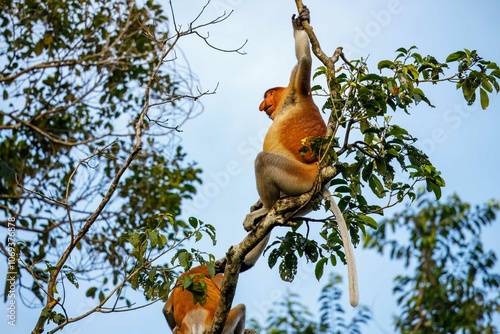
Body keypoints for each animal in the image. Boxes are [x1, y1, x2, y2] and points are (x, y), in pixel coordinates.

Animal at [243, 5, 358, 308]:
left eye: (267, 95)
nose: (262, 105)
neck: (285, 102)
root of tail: (320, 177)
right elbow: (299, 59)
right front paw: (299, 24)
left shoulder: (297, 88)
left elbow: (304, 60)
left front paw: (302, 23)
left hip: (299, 179)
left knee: (263, 161)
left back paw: (264, 211)